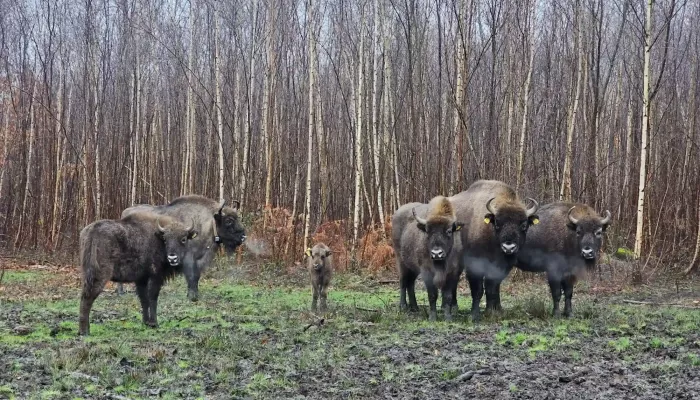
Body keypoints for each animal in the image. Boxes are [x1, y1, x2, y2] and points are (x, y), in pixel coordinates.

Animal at [448, 180, 540, 322]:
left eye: (524, 225)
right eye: (497, 223)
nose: (508, 247)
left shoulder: (502, 267)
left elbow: (494, 287)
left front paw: (495, 310)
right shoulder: (475, 266)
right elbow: (478, 289)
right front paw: (475, 313)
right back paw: (453, 307)